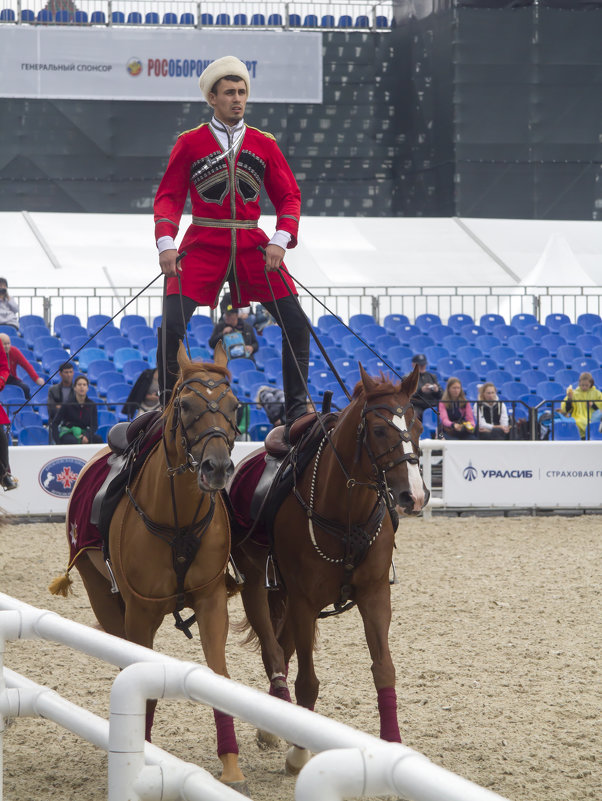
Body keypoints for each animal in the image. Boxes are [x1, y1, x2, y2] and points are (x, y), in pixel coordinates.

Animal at [49, 342, 246, 788]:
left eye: (234, 405)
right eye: (186, 405)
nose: (217, 468)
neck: (179, 522)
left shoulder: (211, 601)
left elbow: (218, 677)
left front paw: (230, 764)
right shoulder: (141, 611)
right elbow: (141, 677)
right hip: (102, 594)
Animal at [227, 364, 424, 776]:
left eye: (416, 425)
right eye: (378, 430)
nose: (414, 495)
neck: (346, 510)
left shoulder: (375, 595)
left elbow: (384, 669)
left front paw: (393, 745)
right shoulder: (304, 601)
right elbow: (308, 682)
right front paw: (299, 752)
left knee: (283, 647)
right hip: (258, 587)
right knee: (274, 651)